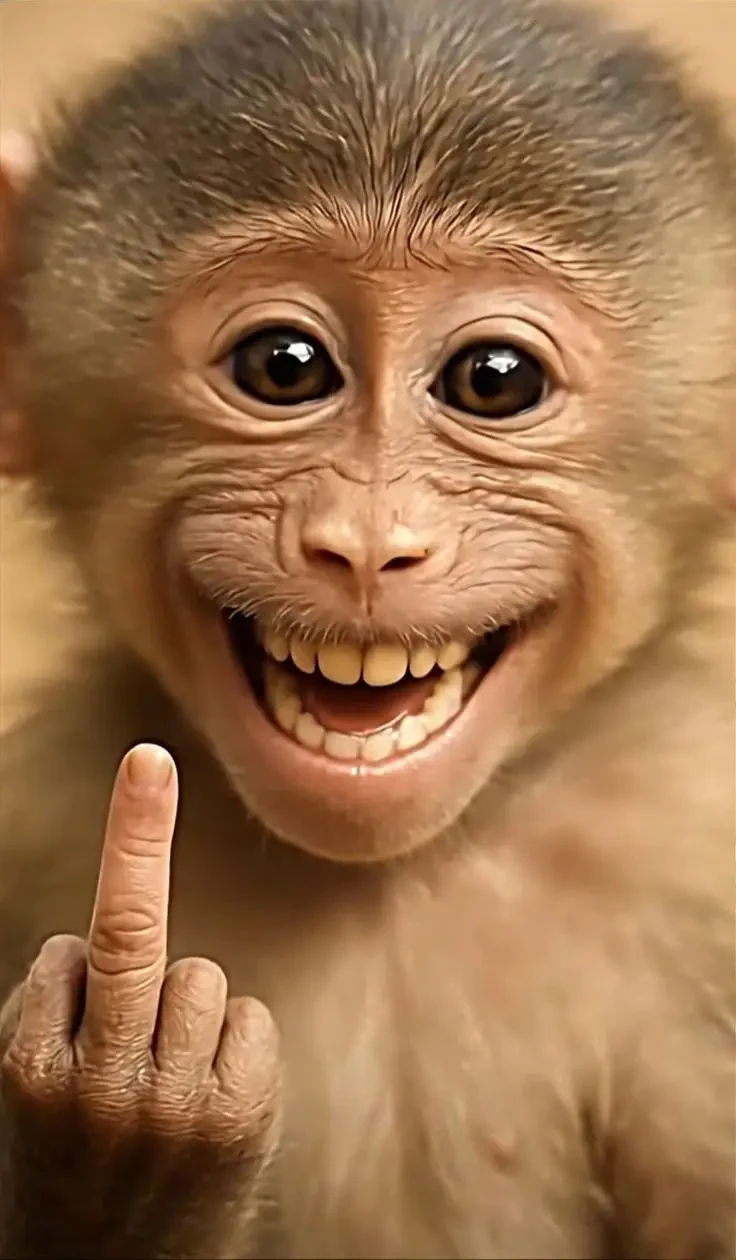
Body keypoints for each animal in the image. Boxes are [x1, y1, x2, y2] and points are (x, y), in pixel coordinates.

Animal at [0, 0, 734, 1255]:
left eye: (493, 380)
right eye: (283, 367)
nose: (365, 544)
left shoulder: (697, 849)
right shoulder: (30, 816)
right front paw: (123, 1121)